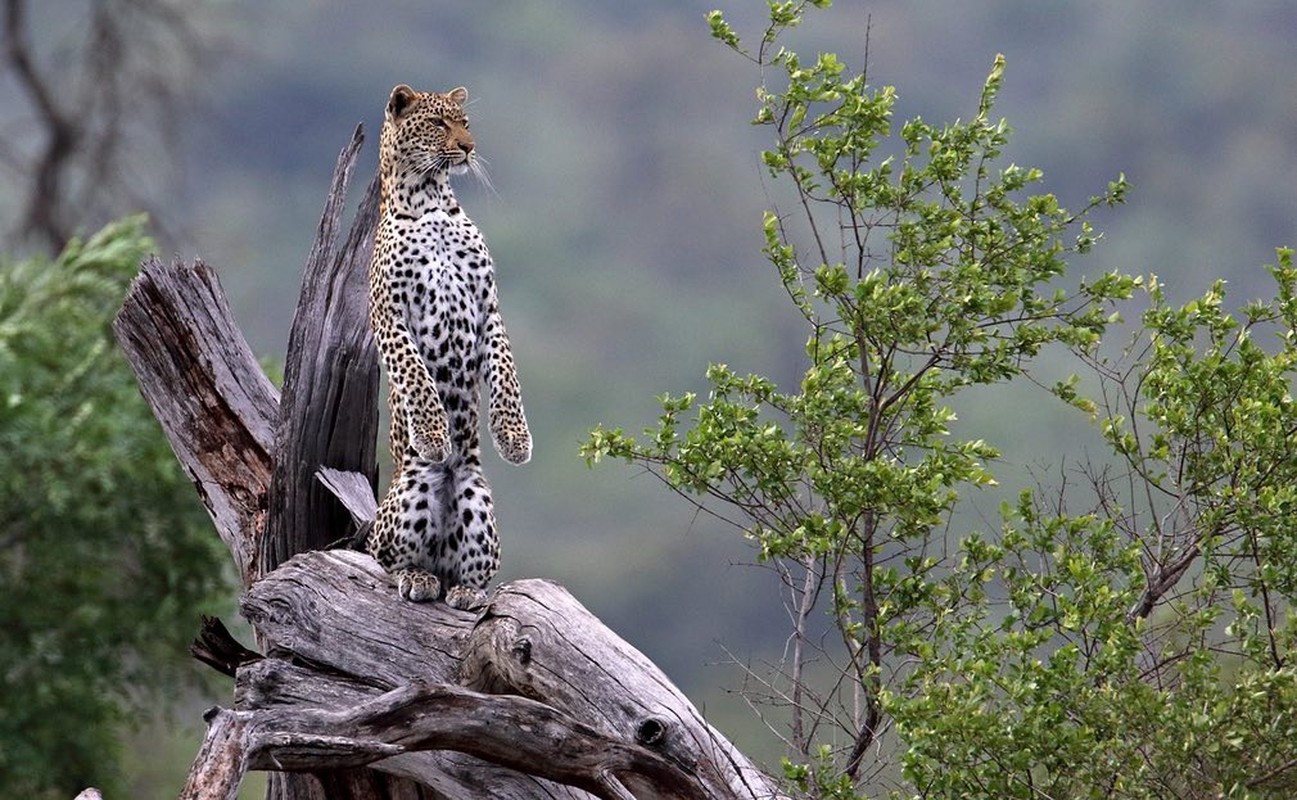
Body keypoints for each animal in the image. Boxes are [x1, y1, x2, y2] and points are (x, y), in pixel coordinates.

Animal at [365, 82, 531, 604]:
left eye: (465, 122)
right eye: (438, 123)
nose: (469, 147)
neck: (430, 200)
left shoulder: (488, 306)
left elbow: (506, 373)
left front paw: (514, 439)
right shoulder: (388, 314)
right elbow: (415, 375)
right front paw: (436, 435)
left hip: (479, 503)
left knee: (469, 572)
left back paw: (468, 592)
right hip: (410, 493)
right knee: (386, 560)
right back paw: (418, 578)